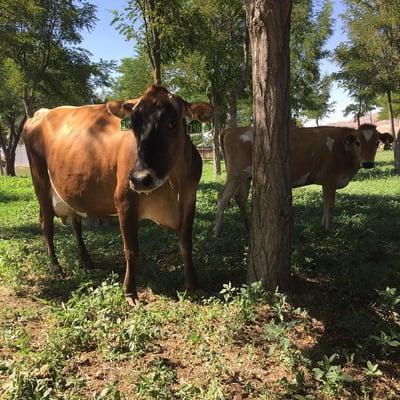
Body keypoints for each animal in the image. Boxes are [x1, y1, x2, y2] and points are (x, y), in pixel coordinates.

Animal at [23, 84, 214, 304]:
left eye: (172, 122)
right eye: (133, 125)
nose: (140, 178)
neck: (174, 184)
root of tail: (41, 113)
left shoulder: (190, 198)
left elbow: (186, 244)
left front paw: (193, 285)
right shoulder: (124, 201)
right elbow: (131, 250)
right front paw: (130, 292)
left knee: (75, 223)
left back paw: (86, 260)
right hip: (41, 183)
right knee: (47, 226)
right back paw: (55, 266)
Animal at [216, 122, 388, 234]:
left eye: (377, 142)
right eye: (358, 142)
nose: (367, 163)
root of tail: (232, 129)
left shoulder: (326, 182)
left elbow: (325, 203)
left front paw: (323, 225)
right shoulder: (329, 179)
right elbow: (330, 205)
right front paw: (330, 229)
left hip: (246, 176)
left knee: (240, 198)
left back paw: (249, 227)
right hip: (235, 173)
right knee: (222, 197)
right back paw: (217, 231)